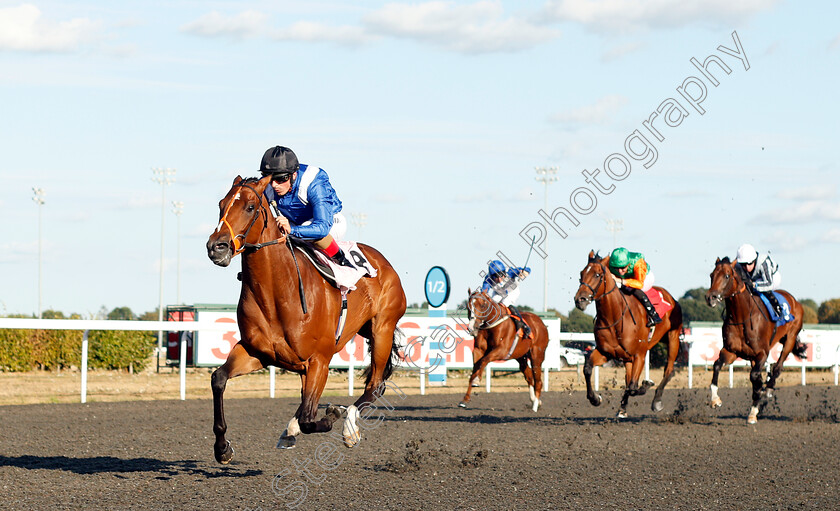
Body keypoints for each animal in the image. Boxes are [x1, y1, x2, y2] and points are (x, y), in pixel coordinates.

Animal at [202, 176, 406, 464]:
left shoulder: (319, 360)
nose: (216, 247)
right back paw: (291, 430)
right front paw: (222, 448)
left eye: (250, 207)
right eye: (221, 205)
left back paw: (348, 426)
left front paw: (333, 413)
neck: (277, 292)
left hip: (382, 330)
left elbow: (311, 419)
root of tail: (384, 262)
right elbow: (218, 379)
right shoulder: (256, 352)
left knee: (376, 385)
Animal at [572, 250, 684, 418]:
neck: (615, 317)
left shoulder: (640, 355)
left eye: (597, 275)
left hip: (673, 338)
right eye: (581, 273)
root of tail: (671, 298)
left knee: (668, 371)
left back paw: (656, 401)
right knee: (630, 378)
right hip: (629, 357)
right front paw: (595, 398)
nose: (580, 300)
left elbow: (633, 386)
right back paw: (622, 409)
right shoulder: (606, 352)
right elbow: (588, 368)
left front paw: (647, 384)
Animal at [704, 258, 812, 426]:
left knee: (777, 368)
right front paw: (715, 400)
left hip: (790, 339)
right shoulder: (731, 351)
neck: (742, 318)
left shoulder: (762, 353)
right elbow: (716, 365)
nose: (711, 297)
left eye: (727, 275)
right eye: (711, 275)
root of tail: (795, 301)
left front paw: (754, 410)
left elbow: (755, 377)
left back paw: (767, 391)